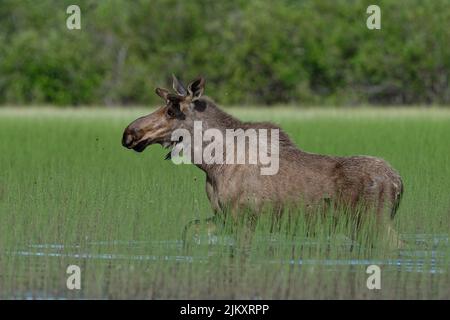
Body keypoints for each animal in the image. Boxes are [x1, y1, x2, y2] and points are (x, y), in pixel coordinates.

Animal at [123, 75, 404, 245]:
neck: (212, 165)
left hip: (376, 224)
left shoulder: (245, 218)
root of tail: (400, 182)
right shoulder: (223, 217)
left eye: (171, 110)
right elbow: (188, 231)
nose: (129, 133)